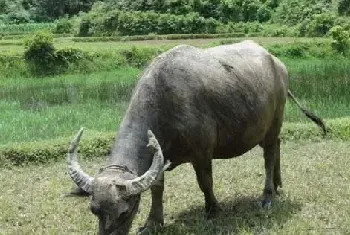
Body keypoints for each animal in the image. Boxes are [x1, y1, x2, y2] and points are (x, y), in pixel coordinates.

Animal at [65, 40, 326, 235]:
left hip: (275, 120)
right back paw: (279, 184)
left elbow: (205, 182)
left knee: (269, 155)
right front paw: (152, 222)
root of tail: (276, 62)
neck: (165, 105)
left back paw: (268, 196)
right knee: (277, 146)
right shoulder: (159, 156)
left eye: (125, 212)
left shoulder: (202, 153)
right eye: (94, 210)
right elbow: (157, 188)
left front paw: (212, 209)